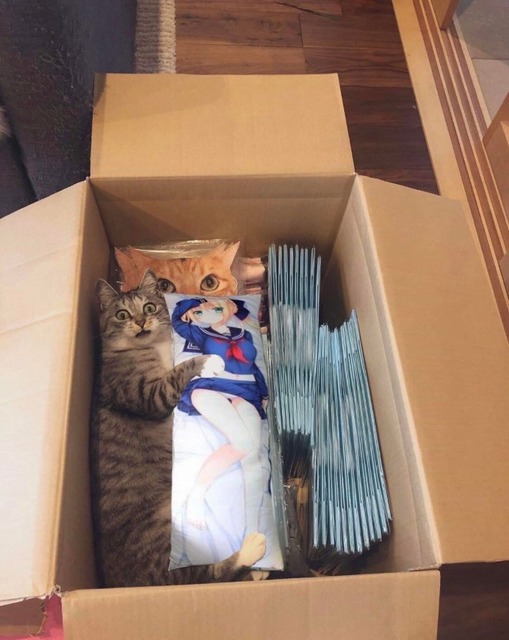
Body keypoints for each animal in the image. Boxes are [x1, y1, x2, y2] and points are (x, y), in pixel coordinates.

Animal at [90, 268, 267, 587]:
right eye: (122, 314)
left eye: (149, 307)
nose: (140, 321)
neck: (150, 346)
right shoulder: (146, 394)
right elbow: (178, 372)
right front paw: (207, 359)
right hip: (163, 533)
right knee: (205, 576)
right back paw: (251, 550)